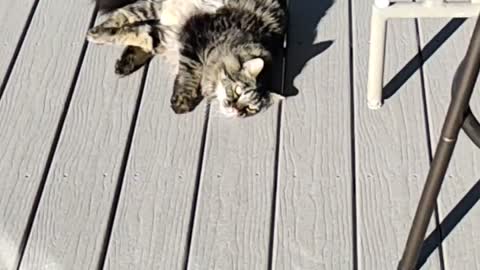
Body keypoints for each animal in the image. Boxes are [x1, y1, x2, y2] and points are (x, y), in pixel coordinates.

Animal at [86, 0, 284, 117]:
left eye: (250, 109)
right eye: (237, 91)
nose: (236, 110)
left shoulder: (173, 36)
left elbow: (144, 37)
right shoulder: (193, 34)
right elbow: (190, 71)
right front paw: (183, 100)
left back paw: (125, 63)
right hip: (152, 8)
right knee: (122, 15)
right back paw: (95, 32)